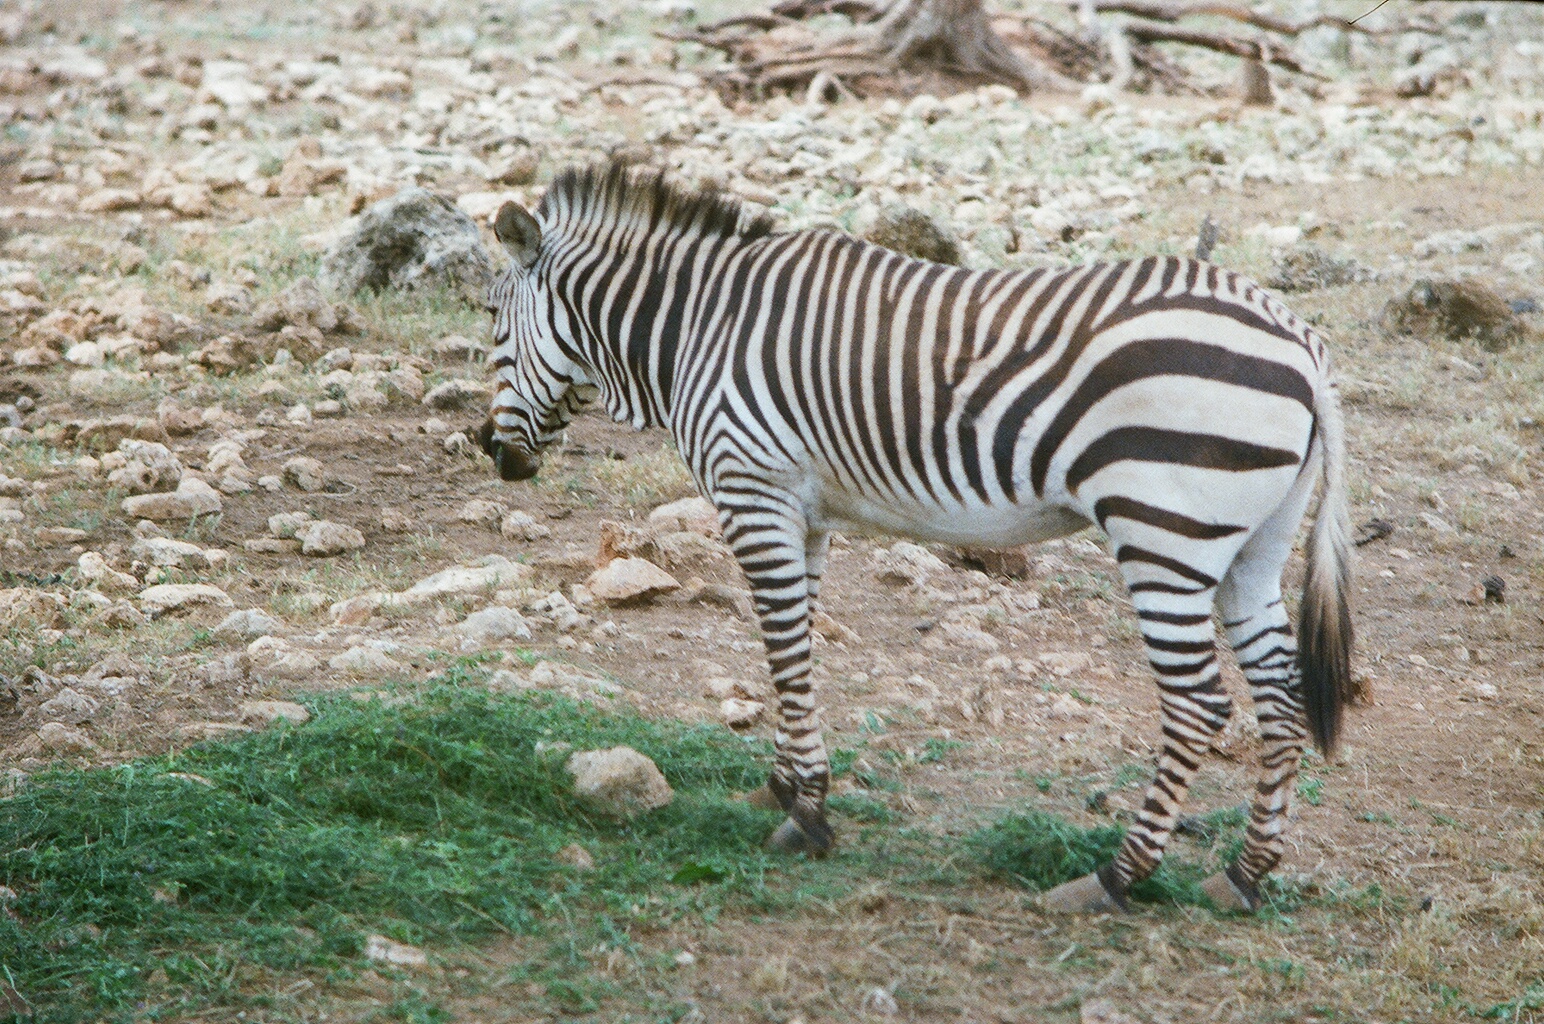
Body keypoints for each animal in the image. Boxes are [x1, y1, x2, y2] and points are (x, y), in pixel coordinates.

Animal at [478, 161, 1354, 914]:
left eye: (489, 321)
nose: (494, 454)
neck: (698, 325)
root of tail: (1303, 342)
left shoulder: (753, 491)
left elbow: (783, 646)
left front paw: (807, 813)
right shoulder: (802, 511)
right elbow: (795, 645)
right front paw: (786, 785)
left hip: (1164, 531)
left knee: (1199, 704)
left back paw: (1115, 876)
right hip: (1252, 547)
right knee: (1278, 696)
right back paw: (1244, 874)